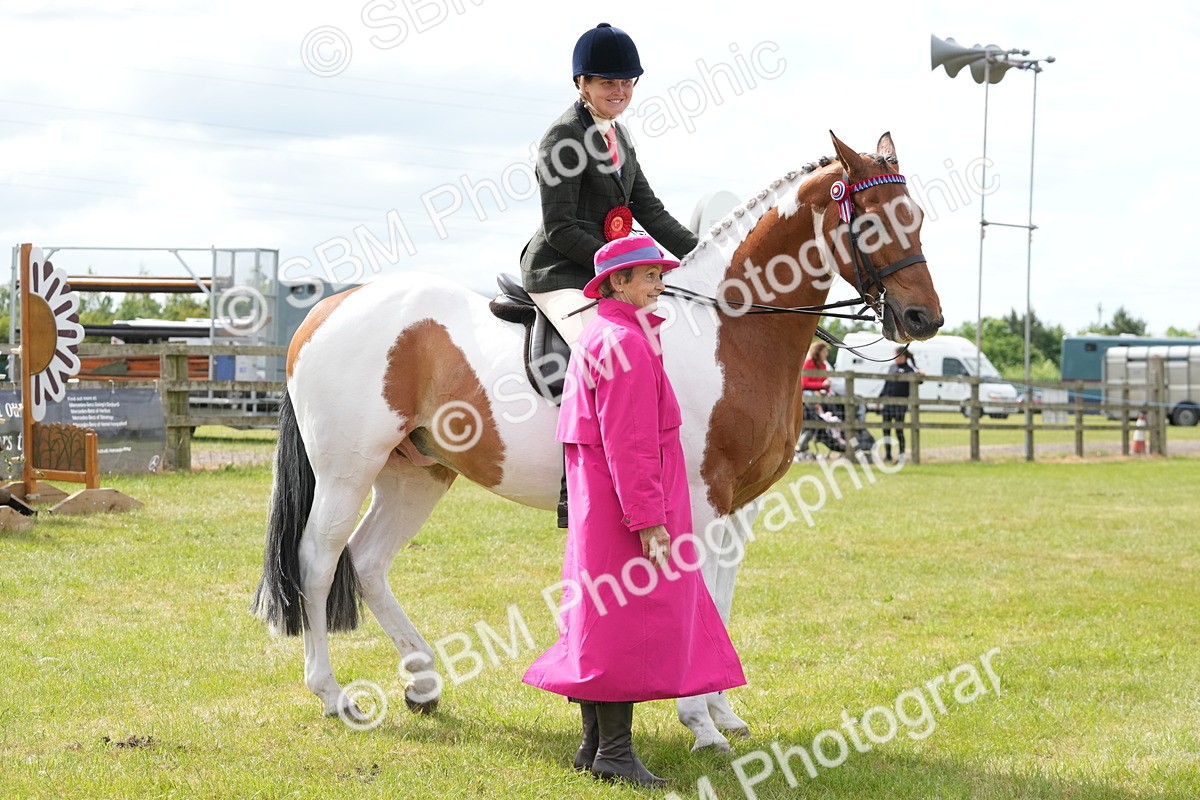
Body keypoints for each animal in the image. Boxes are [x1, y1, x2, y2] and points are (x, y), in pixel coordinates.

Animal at [252, 131, 944, 753]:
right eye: (873, 223)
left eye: (917, 217)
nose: (923, 319)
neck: (729, 329)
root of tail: (329, 308)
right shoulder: (698, 500)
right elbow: (699, 597)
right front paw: (700, 722)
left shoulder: (737, 507)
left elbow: (720, 598)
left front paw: (722, 710)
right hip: (348, 469)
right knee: (319, 559)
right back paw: (332, 695)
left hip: (417, 471)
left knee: (368, 560)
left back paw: (423, 683)